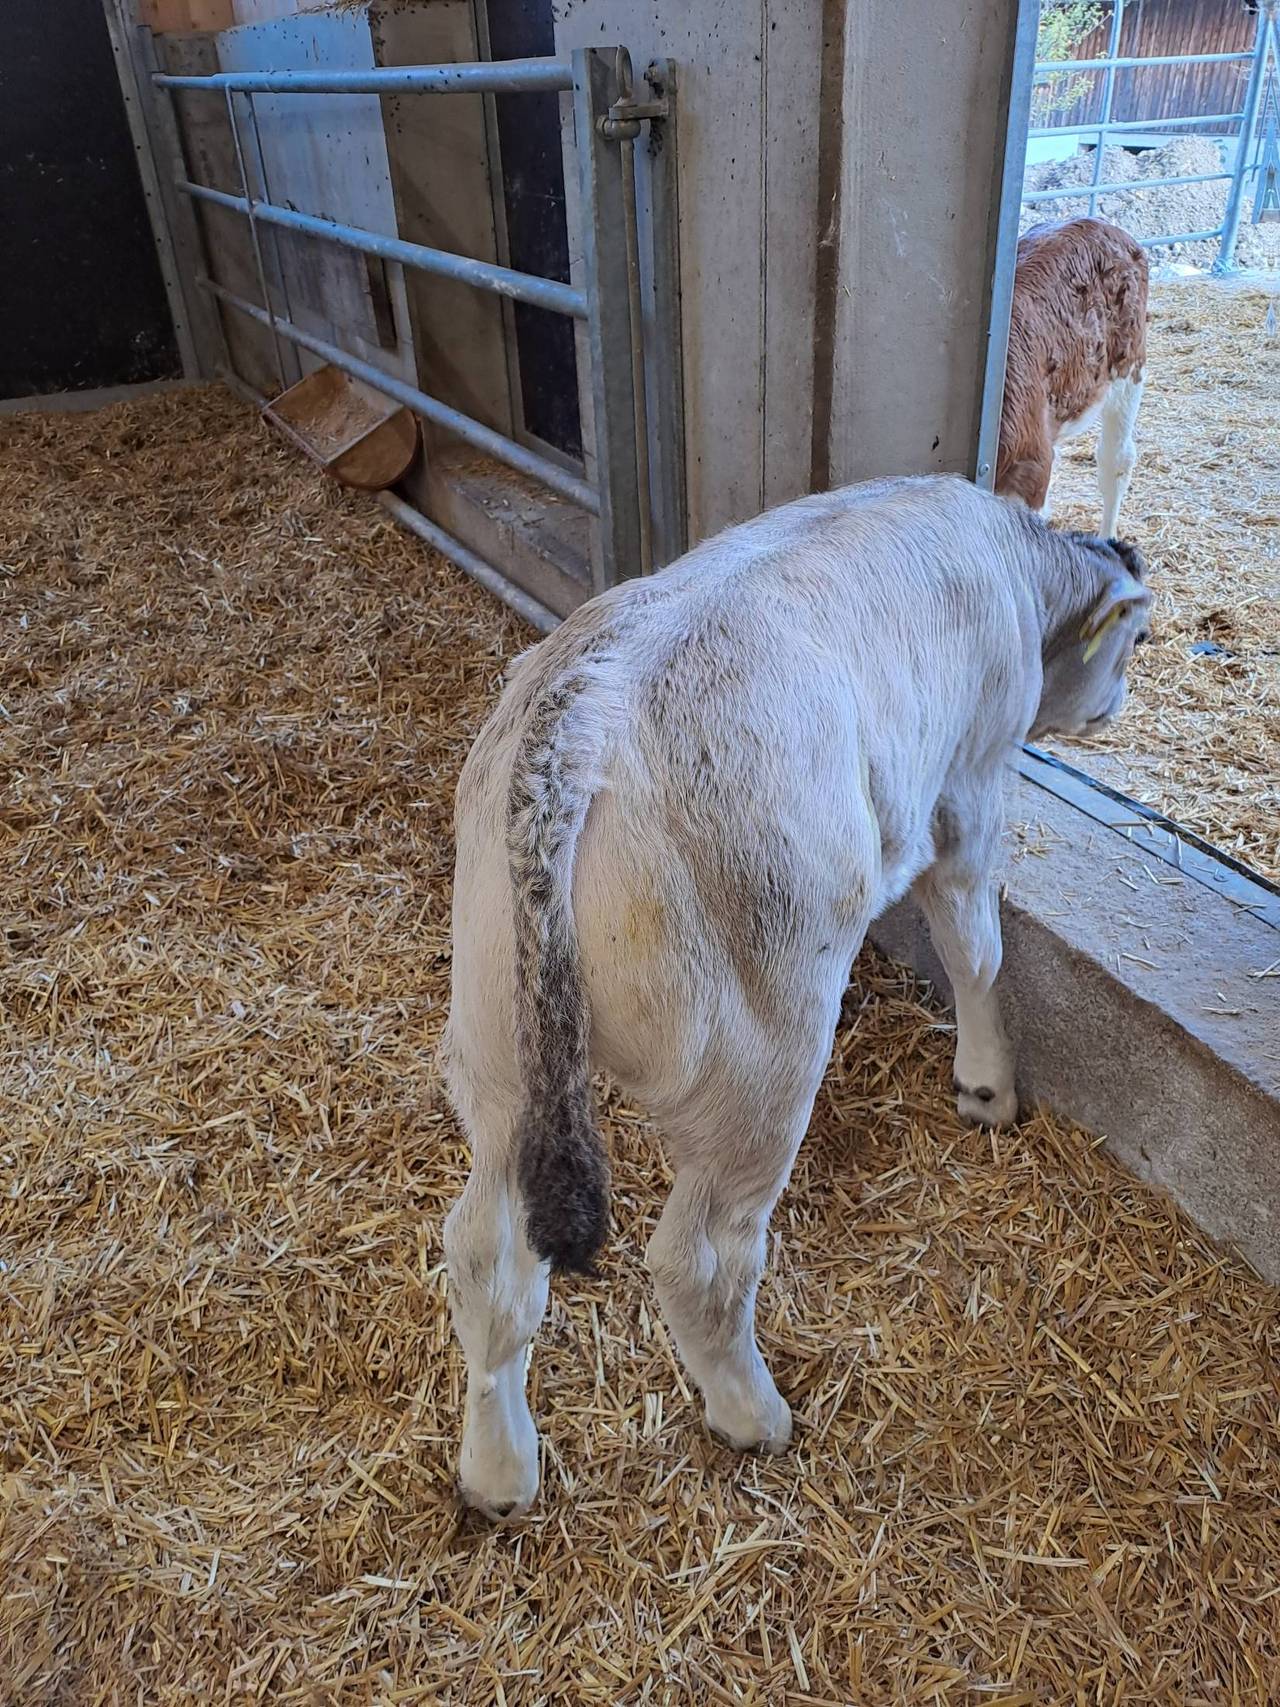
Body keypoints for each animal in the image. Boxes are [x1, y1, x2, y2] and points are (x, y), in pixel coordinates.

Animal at [443, 474, 1153, 1515]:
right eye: (1135, 643)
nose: (1115, 709)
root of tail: (576, 722)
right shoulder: (970, 775)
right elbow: (975, 943)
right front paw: (988, 1084)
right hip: (759, 1055)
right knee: (701, 1258)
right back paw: (752, 1414)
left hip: (496, 1048)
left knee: (488, 1257)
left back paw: (499, 1469)